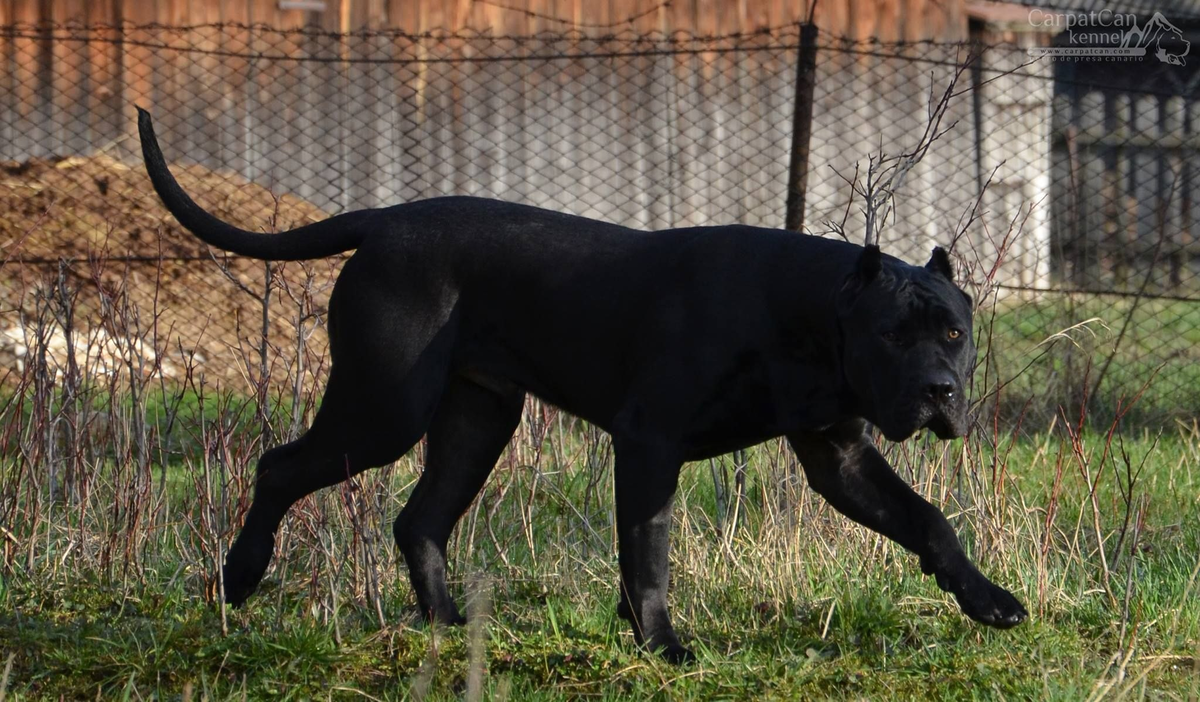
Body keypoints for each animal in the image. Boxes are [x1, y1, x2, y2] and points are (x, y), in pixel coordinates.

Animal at [138, 108, 1022, 662]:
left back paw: (447, 625)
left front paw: (988, 601)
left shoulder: (839, 456)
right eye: (891, 336)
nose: (940, 391)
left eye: (952, 333)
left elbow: (928, 521)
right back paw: (239, 578)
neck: (810, 317)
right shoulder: (649, 440)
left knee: (418, 519)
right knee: (279, 467)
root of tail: (382, 219)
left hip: (477, 419)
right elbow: (648, 548)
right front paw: (661, 645)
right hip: (382, 410)